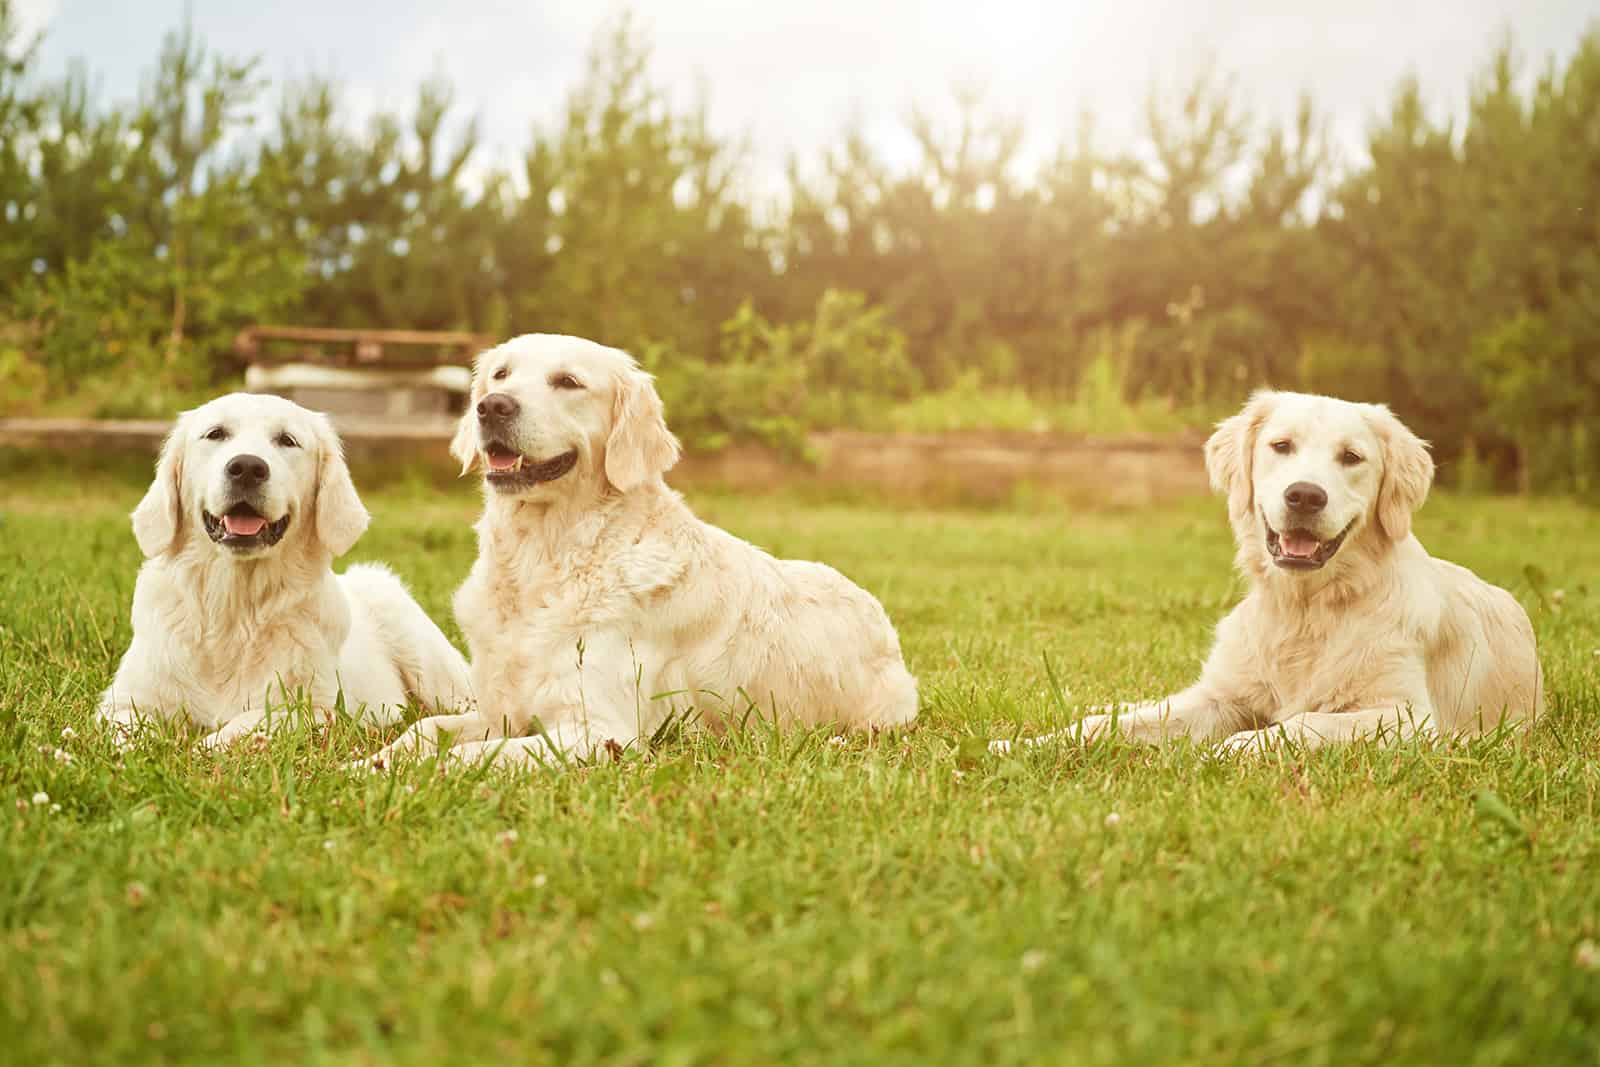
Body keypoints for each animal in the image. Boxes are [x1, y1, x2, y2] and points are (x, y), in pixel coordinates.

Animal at [97, 395, 470, 751]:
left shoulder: (316, 711)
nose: (247, 468)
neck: (234, 608)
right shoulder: (125, 701)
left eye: (287, 440)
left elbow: (247, 722)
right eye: (216, 434)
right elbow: (123, 730)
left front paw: (204, 745)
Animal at [358, 334, 921, 767]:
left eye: (568, 382)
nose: (492, 406)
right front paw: (369, 764)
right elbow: (425, 729)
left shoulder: (599, 731)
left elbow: (467, 756)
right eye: (500, 375)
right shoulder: (501, 710)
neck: (545, 558)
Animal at [998, 388, 1536, 755]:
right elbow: (1109, 726)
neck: (1305, 608)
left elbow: (1302, 723)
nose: (1305, 496)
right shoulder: (1222, 699)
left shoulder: (1405, 717)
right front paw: (1025, 745)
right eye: (1281, 445)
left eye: (1352, 457)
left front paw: (1231, 749)